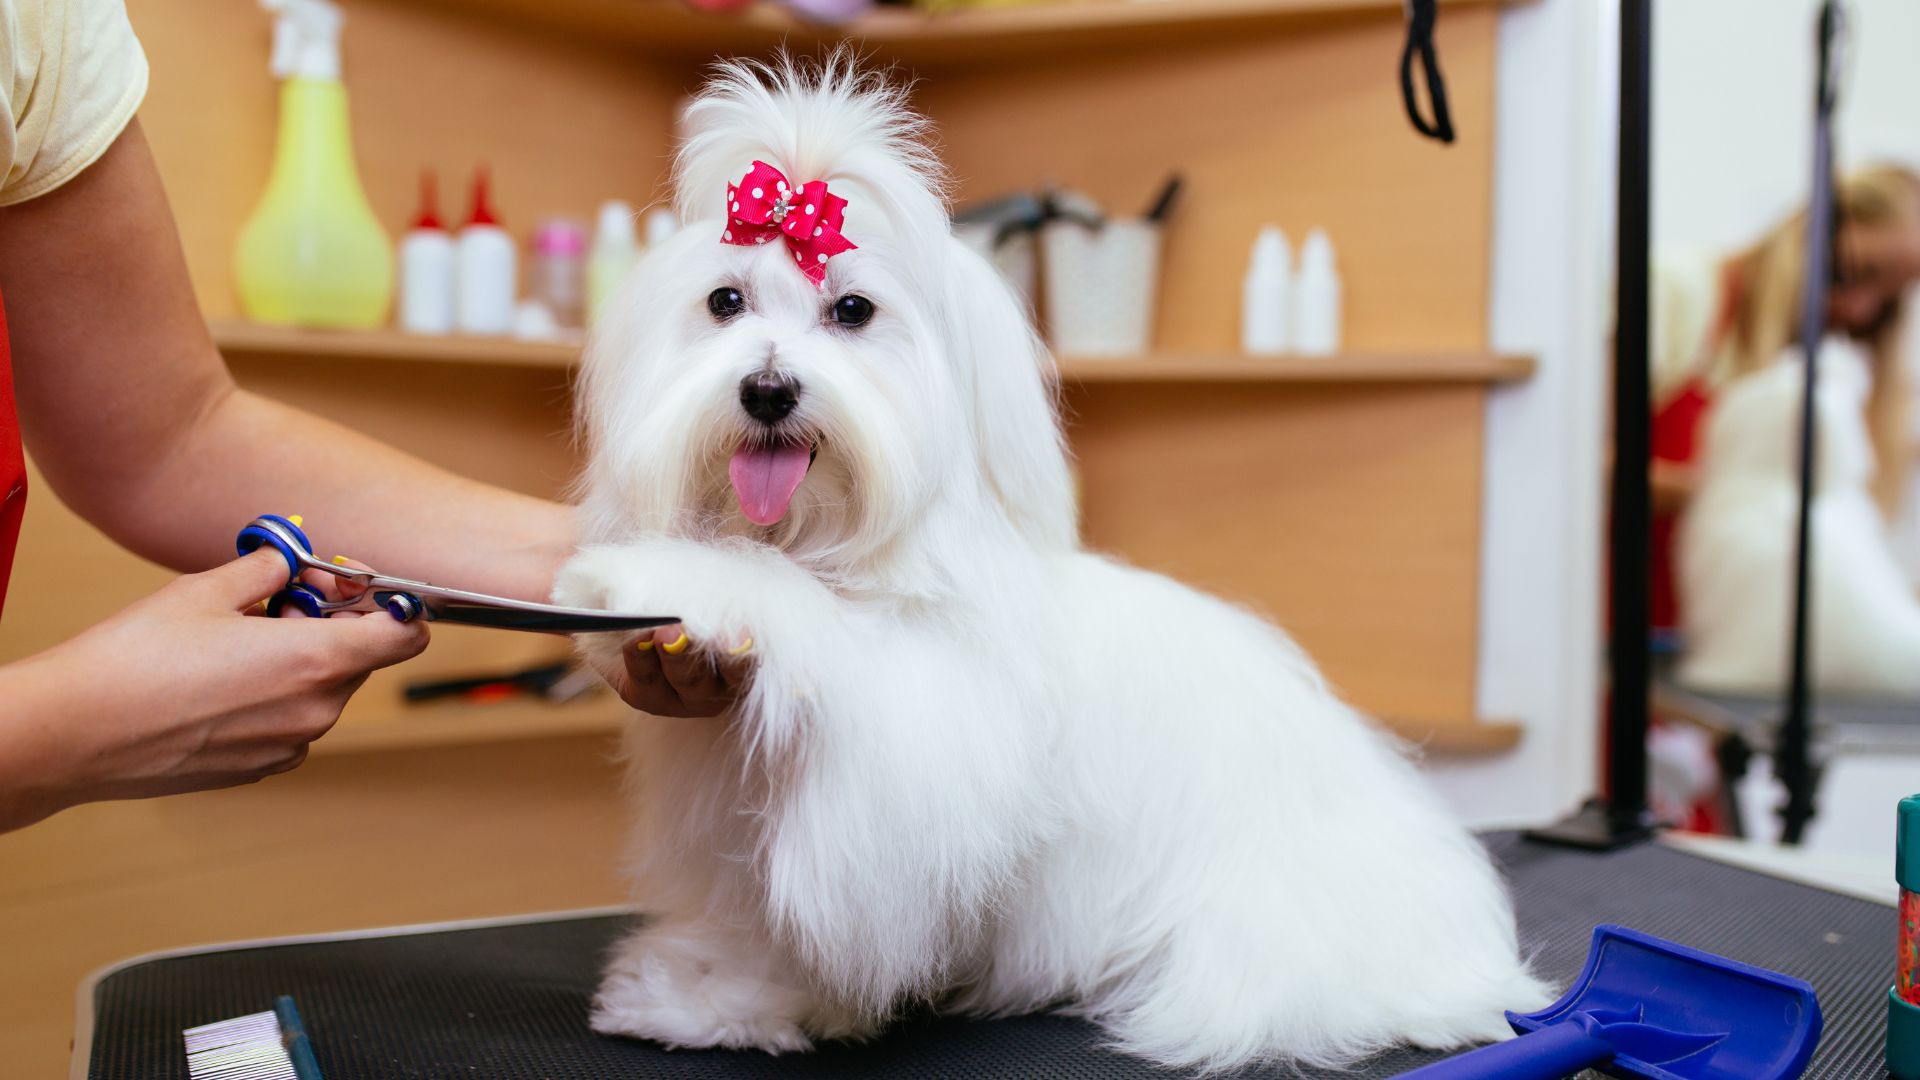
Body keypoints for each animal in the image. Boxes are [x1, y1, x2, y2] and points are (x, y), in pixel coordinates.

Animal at [556, 56, 1543, 1068]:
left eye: (853, 311)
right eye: (725, 303)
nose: (766, 389)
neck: (835, 546)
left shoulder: (908, 764)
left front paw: (655, 578)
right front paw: (713, 998)